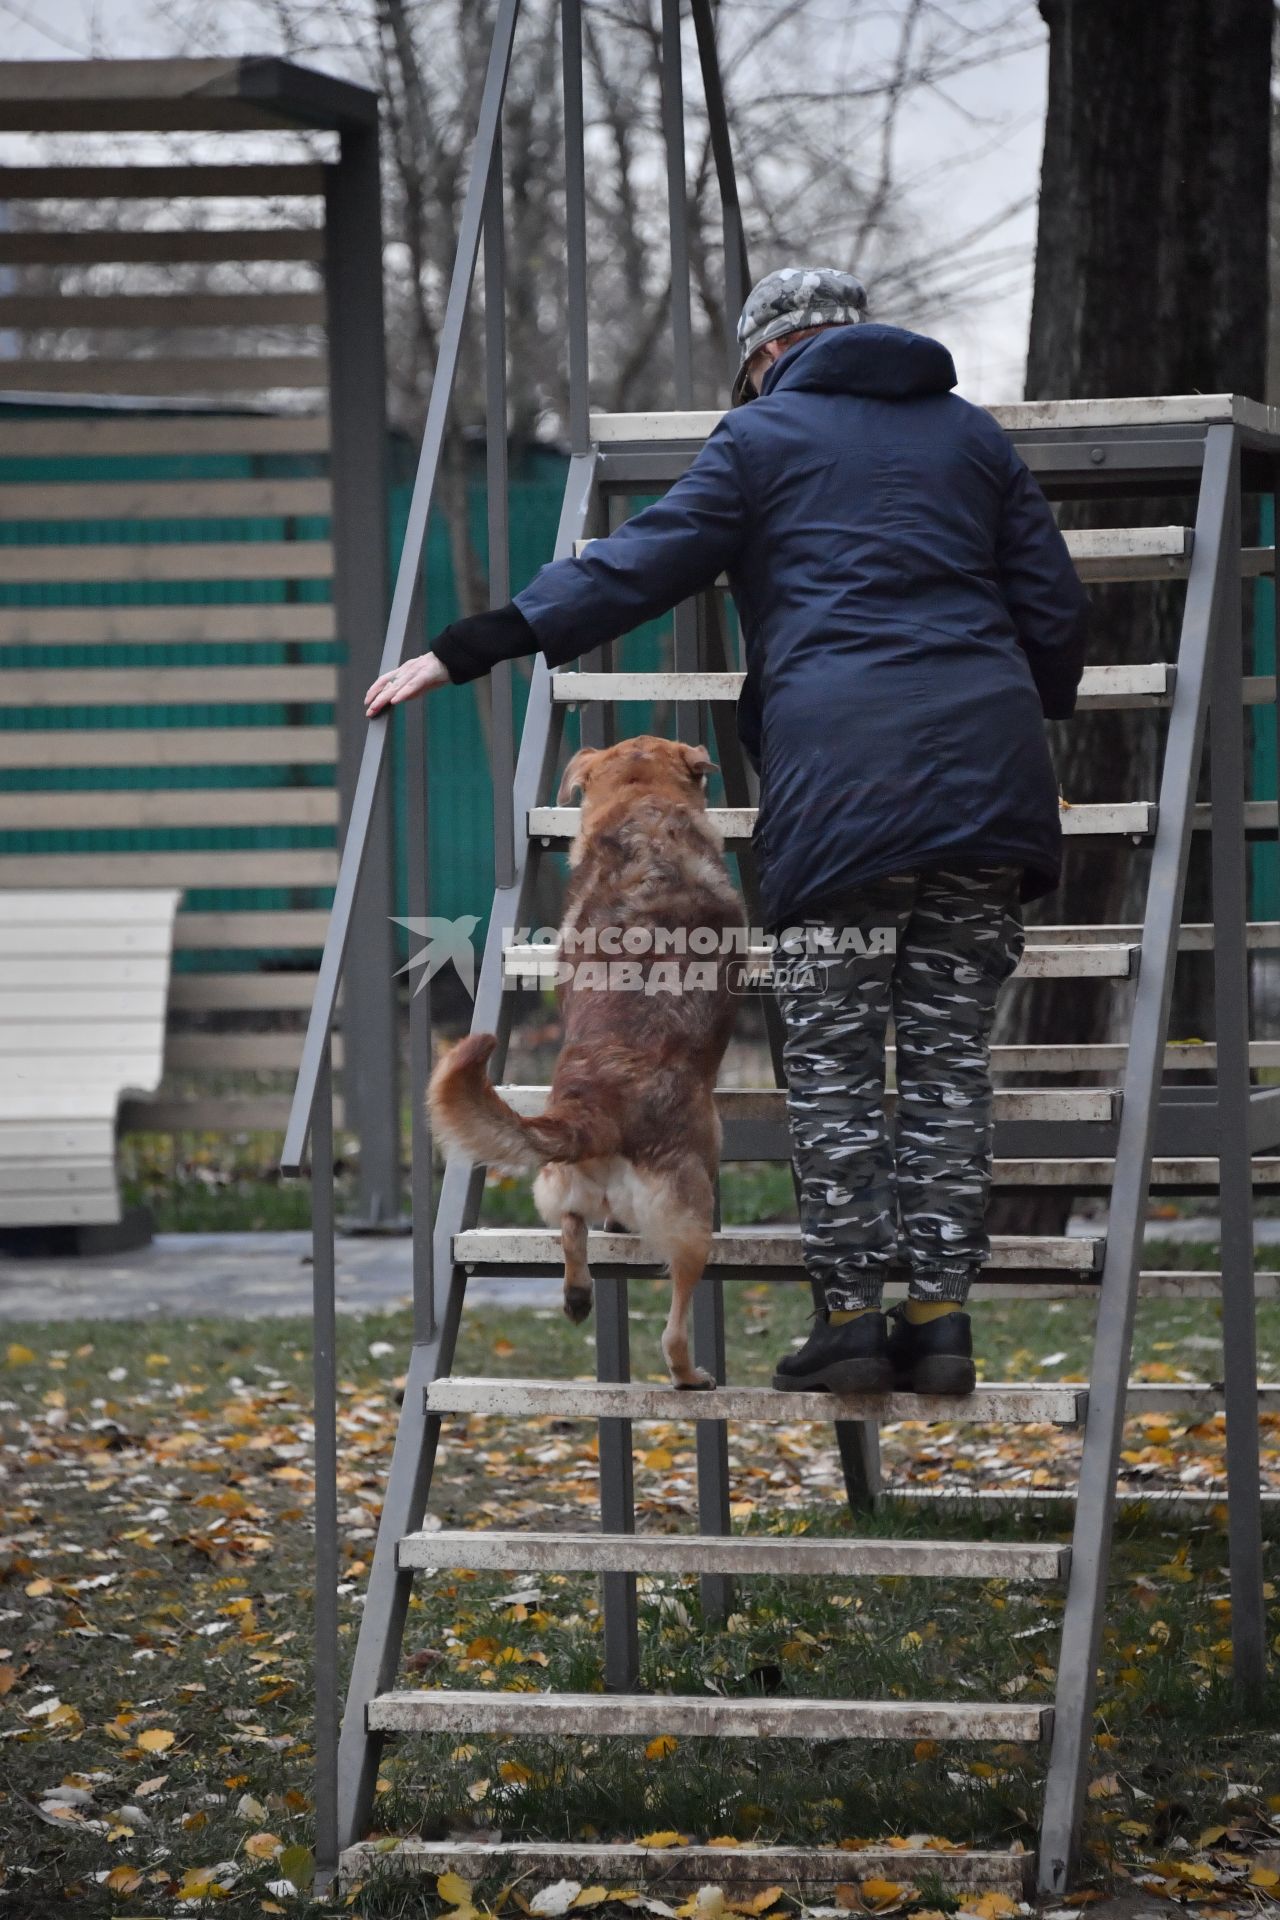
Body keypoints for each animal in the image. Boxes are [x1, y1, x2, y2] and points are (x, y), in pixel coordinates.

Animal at [433, 729, 740, 1382]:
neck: (641, 810)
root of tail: (593, 1111)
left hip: (557, 1182)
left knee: (571, 1230)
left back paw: (577, 1294)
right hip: (693, 1212)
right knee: (674, 1327)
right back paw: (689, 1376)